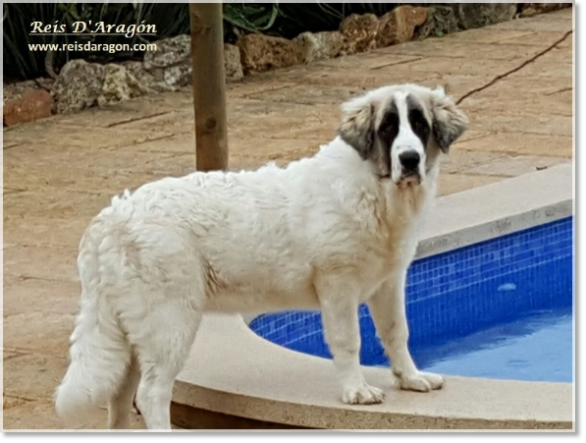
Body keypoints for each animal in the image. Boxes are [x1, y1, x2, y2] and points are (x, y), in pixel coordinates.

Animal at [54, 83, 466, 430]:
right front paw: (356, 391)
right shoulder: (338, 285)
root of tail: (110, 218)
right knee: (151, 394)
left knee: (120, 396)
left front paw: (410, 378)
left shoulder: (388, 283)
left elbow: (397, 332)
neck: (375, 188)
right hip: (169, 323)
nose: (409, 159)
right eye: (387, 128)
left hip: (132, 332)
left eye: (420, 125)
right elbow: (349, 341)